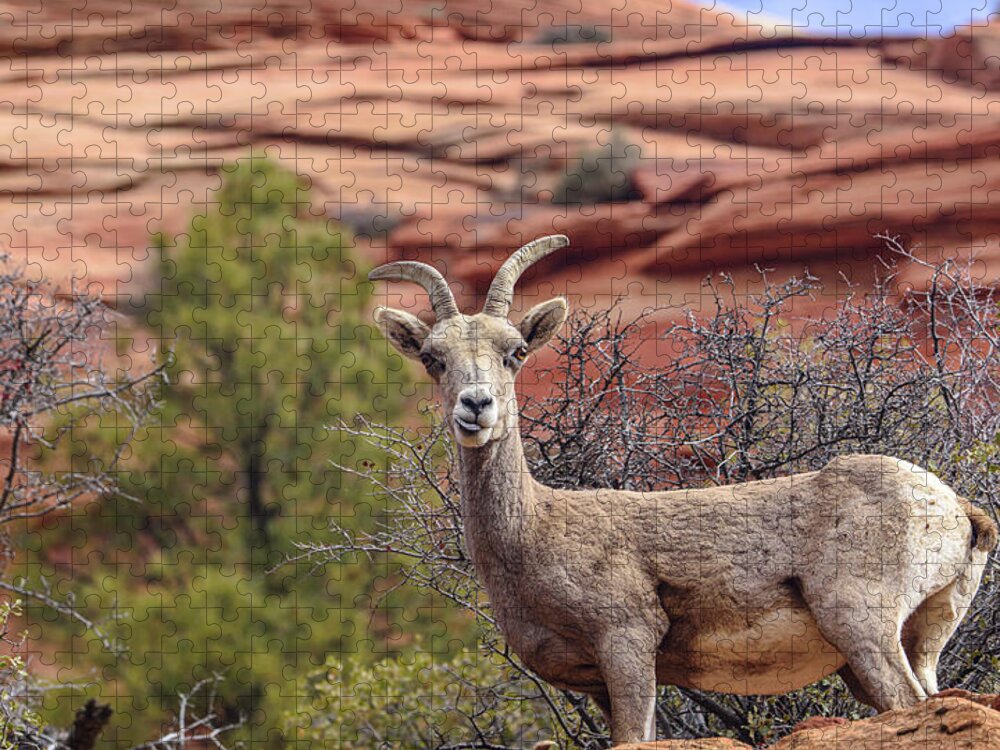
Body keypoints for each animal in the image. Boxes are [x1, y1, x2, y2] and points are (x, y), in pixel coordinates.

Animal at [369, 234, 997, 745]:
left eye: (515, 352)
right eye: (433, 358)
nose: (476, 406)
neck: (536, 529)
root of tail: (958, 509)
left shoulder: (626, 644)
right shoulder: (600, 682)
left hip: (863, 626)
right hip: (918, 641)